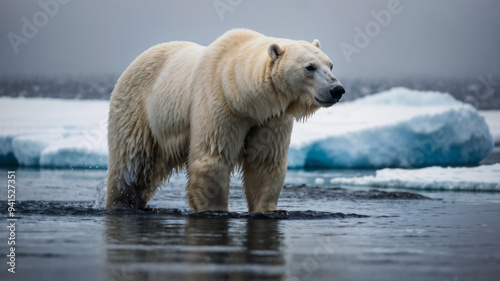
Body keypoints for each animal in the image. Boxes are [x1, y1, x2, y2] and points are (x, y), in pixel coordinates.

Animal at [106, 29, 344, 212]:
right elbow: (213, 158)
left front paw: (269, 209)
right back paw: (120, 203)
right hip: (137, 109)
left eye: (330, 65)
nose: (337, 89)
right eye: (310, 67)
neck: (243, 96)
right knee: (130, 163)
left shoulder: (271, 118)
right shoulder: (221, 104)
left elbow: (265, 162)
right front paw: (215, 209)